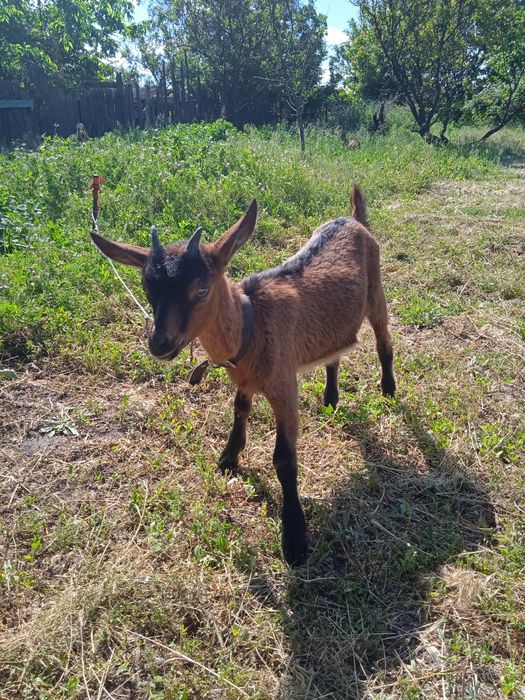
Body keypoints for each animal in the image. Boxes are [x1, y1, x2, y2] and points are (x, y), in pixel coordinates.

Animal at [91, 185, 396, 566]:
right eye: (148, 290)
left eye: (201, 290)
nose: (159, 343)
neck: (251, 326)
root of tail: (353, 219)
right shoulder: (246, 381)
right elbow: (240, 409)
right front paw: (228, 458)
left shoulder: (284, 384)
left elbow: (283, 458)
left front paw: (294, 538)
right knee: (335, 353)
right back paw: (330, 398)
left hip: (377, 293)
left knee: (384, 342)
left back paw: (388, 389)